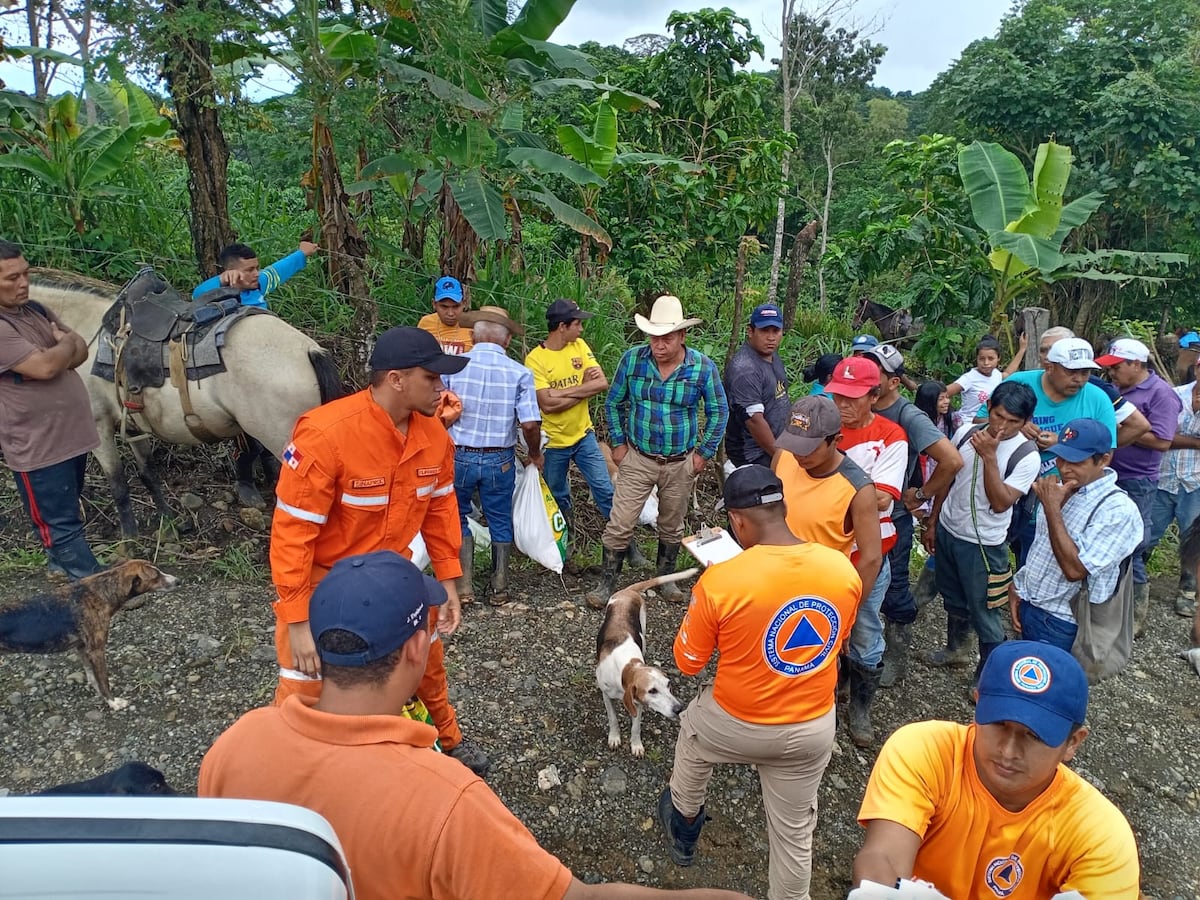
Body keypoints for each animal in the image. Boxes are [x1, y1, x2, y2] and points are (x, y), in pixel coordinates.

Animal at [0, 564, 177, 710]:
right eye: (156, 576)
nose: (178, 580)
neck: (100, 591)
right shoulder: (96, 650)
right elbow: (103, 680)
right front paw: (113, 702)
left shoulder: (83, 647)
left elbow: (92, 676)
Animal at [28, 271, 345, 540]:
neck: (82, 334)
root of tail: (309, 350)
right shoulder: (134, 424)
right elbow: (148, 472)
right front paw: (168, 521)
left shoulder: (99, 426)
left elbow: (118, 483)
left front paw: (129, 539)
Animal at [595, 573, 700, 758]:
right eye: (652, 691)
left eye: (669, 685)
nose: (679, 709)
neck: (627, 667)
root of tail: (628, 591)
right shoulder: (606, 695)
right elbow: (613, 719)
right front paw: (614, 737)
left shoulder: (638, 703)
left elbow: (636, 727)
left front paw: (636, 745)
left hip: (643, 627)